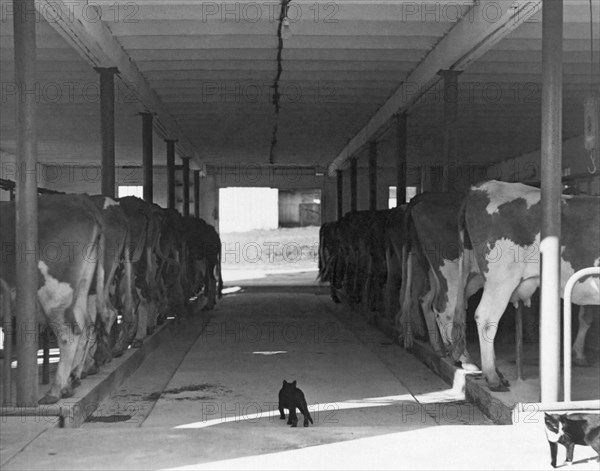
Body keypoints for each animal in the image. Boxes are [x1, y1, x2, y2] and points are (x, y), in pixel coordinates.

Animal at [0, 194, 104, 404]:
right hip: (81, 288)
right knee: (86, 326)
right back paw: (72, 380)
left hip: (54, 293)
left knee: (68, 333)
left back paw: (55, 391)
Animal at [452, 181, 596, 390]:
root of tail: (481, 187)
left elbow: (586, 317)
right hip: (501, 279)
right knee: (486, 317)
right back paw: (492, 377)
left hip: (475, 276)